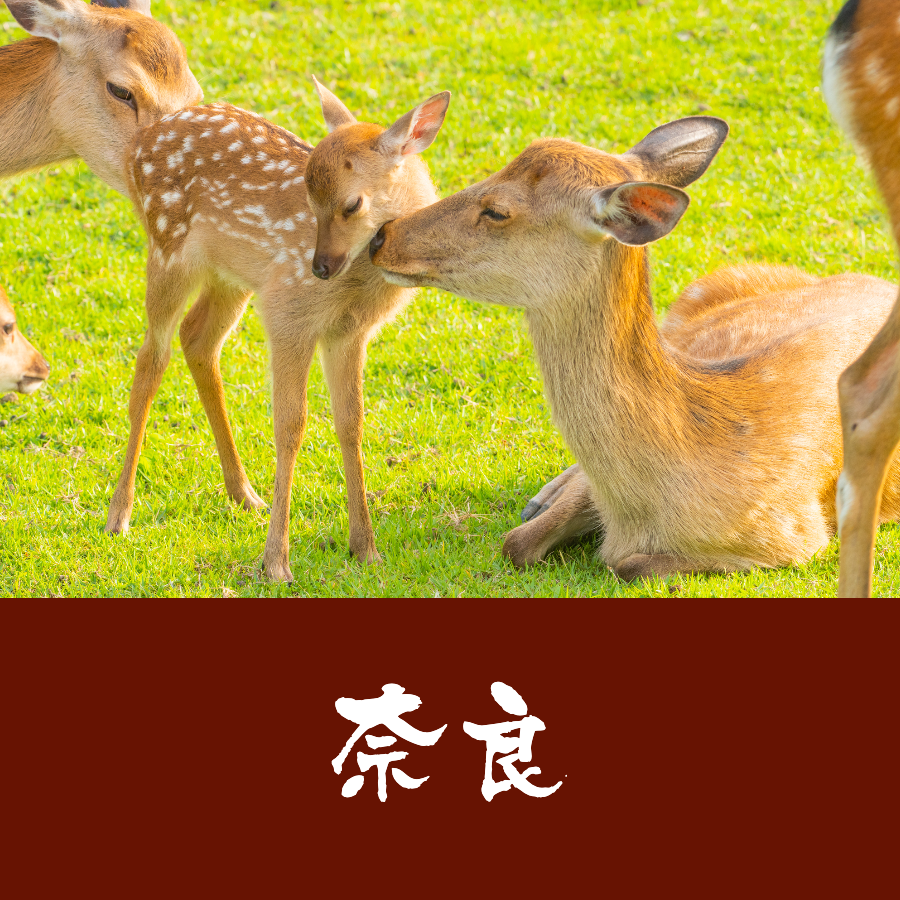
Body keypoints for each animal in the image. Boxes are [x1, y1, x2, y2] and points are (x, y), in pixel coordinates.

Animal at [104, 80, 451, 583]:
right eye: (309, 200)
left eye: (352, 204)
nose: (319, 266)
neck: (357, 285)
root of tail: (139, 142)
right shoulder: (289, 313)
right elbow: (290, 424)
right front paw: (276, 562)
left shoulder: (348, 332)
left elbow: (351, 421)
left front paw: (365, 547)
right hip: (168, 247)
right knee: (151, 359)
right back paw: (119, 515)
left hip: (230, 275)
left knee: (198, 339)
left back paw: (244, 494)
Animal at [369, 116, 900, 583]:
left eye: (497, 209)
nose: (381, 236)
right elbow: (516, 542)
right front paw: (544, 507)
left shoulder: (794, 535)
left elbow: (629, 566)